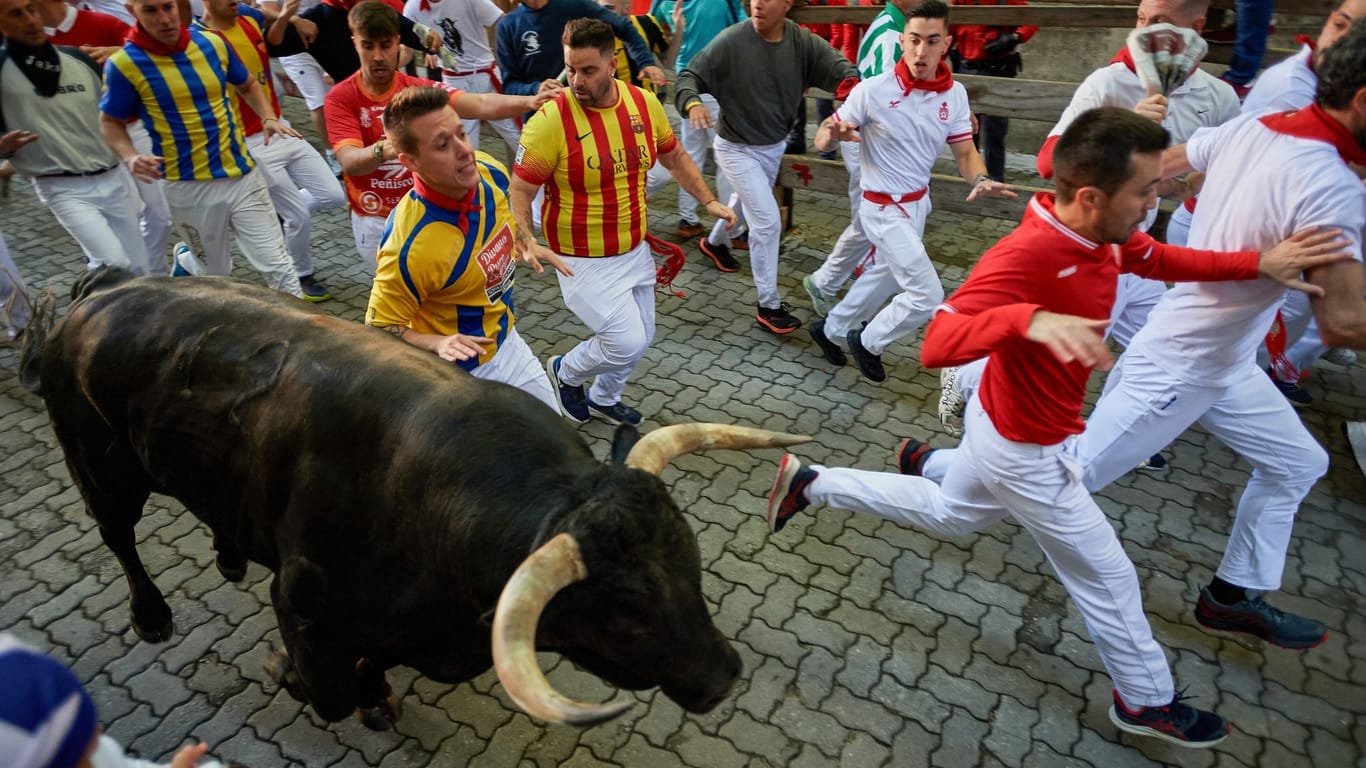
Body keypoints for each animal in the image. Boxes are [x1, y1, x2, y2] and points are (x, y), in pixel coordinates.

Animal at [18, 267, 808, 721]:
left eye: (691, 564)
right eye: (622, 608)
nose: (723, 676)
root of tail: (104, 290)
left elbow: (370, 670)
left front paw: (378, 696)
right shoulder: (302, 606)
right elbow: (330, 692)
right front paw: (296, 678)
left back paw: (230, 554)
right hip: (98, 463)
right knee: (118, 536)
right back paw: (152, 616)